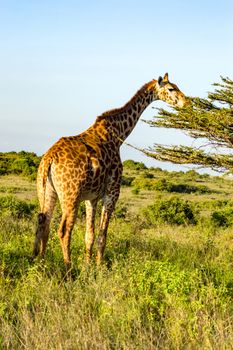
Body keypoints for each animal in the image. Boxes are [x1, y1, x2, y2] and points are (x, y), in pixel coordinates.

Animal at [33, 73, 186, 266]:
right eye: (171, 88)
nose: (186, 102)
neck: (119, 133)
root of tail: (49, 158)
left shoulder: (91, 198)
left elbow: (89, 236)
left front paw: (88, 266)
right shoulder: (112, 193)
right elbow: (102, 236)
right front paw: (99, 268)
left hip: (47, 190)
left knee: (42, 223)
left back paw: (40, 262)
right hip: (70, 195)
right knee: (64, 230)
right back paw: (68, 268)